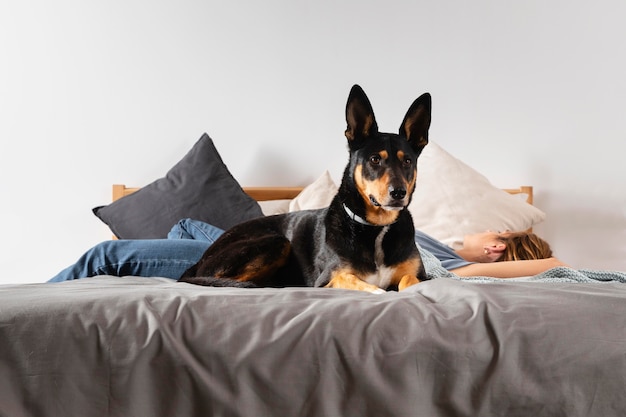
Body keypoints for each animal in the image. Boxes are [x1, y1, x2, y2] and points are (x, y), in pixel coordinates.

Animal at [177, 84, 428, 292]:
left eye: (407, 161)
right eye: (375, 159)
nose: (399, 193)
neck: (376, 228)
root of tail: (200, 260)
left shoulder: (421, 276)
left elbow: (410, 280)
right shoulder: (327, 279)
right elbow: (356, 280)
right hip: (274, 242)